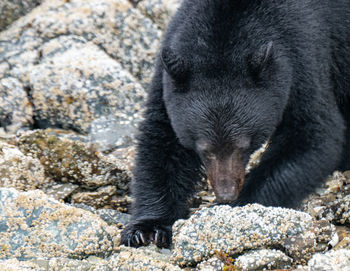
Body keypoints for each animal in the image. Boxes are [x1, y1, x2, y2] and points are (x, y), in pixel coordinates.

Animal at [121, 0, 350, 249]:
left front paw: (238, 204)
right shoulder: (169, 78)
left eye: (243, 145)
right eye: (204, 149)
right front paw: (147, 228)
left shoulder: (303, 56)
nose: (226, 193)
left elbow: (313, 134)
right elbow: (161, 140)